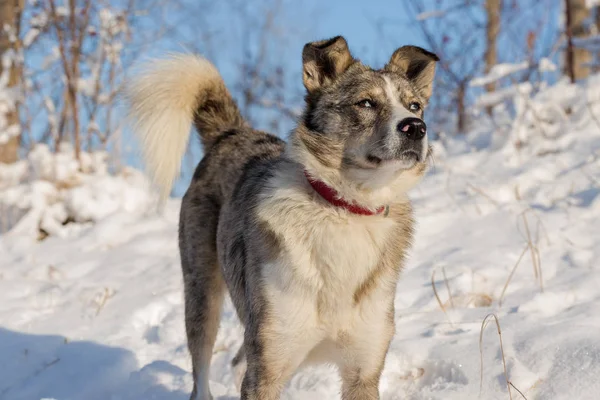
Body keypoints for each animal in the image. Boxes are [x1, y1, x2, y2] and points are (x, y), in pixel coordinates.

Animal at [125, 35, 436, 400]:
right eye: (366, 103)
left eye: (414, 106)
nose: (416, 128)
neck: (346, 207)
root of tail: (231, 134)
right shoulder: (268, 366)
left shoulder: (364, 368)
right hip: (203, 295)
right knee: (202, 374)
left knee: (237, 361)